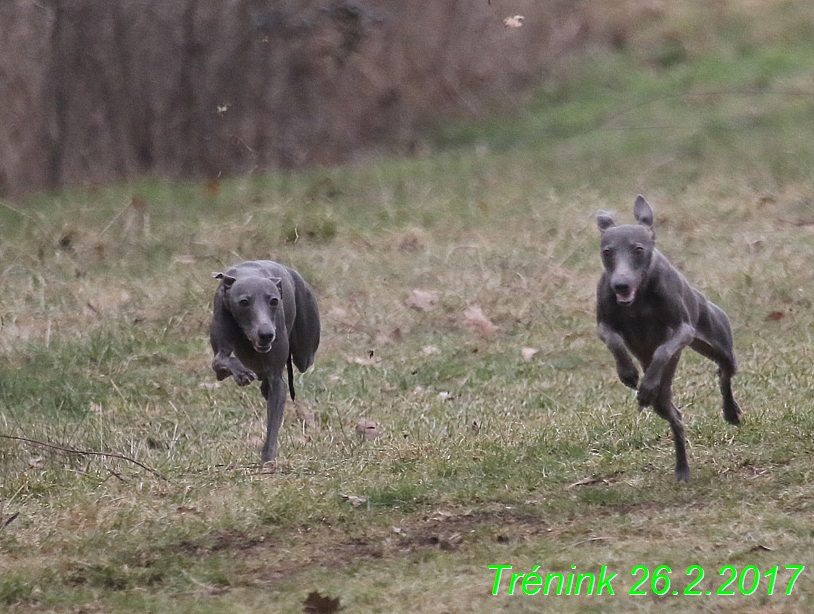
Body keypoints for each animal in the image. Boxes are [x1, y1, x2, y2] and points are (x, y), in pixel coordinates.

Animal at [209, 262, 320, 466]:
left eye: (274, 301)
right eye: (244, 302)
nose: (267, 334)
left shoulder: (277, 379)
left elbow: (273, 423)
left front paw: (268, 460)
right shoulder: (220, 349)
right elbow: (221, 361)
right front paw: (241, 373)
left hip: (305, 354)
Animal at [596, 195, 744, 484]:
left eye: (638, 249)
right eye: (607, 251)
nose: (620, 285)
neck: (638, 299)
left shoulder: (683, 330)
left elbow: (663, 350)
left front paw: (645, 383)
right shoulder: (603, 325)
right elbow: (614, 341)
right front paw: (628, 373)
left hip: (720, 344)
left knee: (724, 372)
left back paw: (730, 412)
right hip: (663, 400)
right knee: (675, 416)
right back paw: (682, 468)